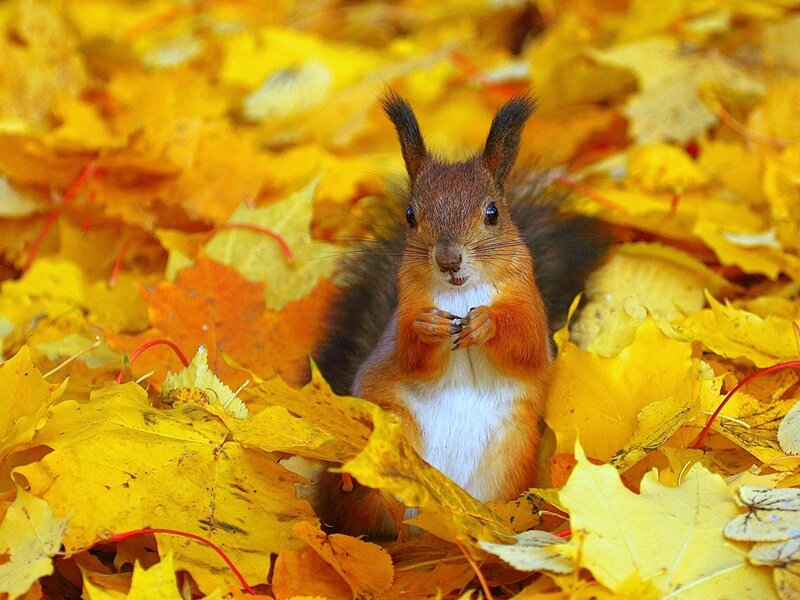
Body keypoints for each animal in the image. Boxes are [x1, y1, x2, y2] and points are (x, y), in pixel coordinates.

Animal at [312, 91, 609, 537]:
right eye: (410, 215)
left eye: (493, 212)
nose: (449, 259)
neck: (460, 293)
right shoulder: (404, 310)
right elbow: (409, 355)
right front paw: (430, 326)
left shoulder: (530, 305)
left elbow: (524, 344)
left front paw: (486, 323)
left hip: (506, 467)